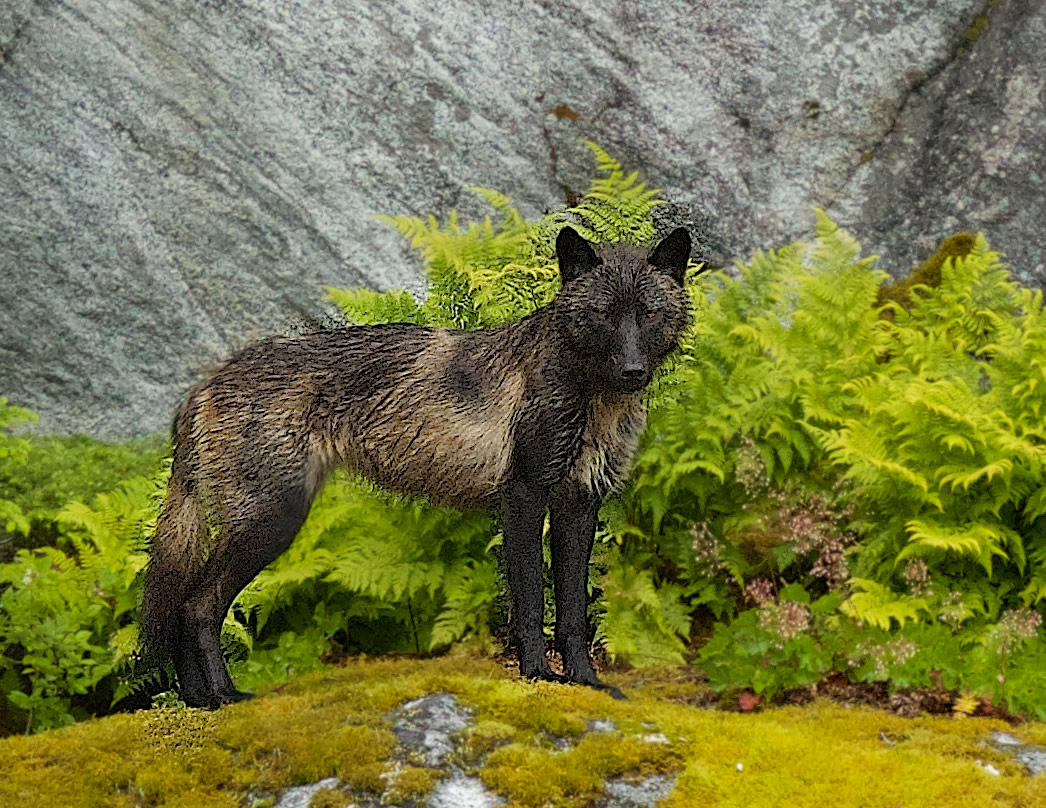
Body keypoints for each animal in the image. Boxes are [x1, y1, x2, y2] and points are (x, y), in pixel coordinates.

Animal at [141, 223, 694, 703]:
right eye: (604, 315)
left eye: (648, 314)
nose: (633, 371)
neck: (591, 395)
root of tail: (200, 387)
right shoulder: (523, 497)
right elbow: (532, 603)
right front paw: (538, 677)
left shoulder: (578, 505)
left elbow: (575, 612)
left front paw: (585, 683)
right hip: (270, 523)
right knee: (195, 607)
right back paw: (224, 698)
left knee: (186, 609)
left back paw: (199, 703)